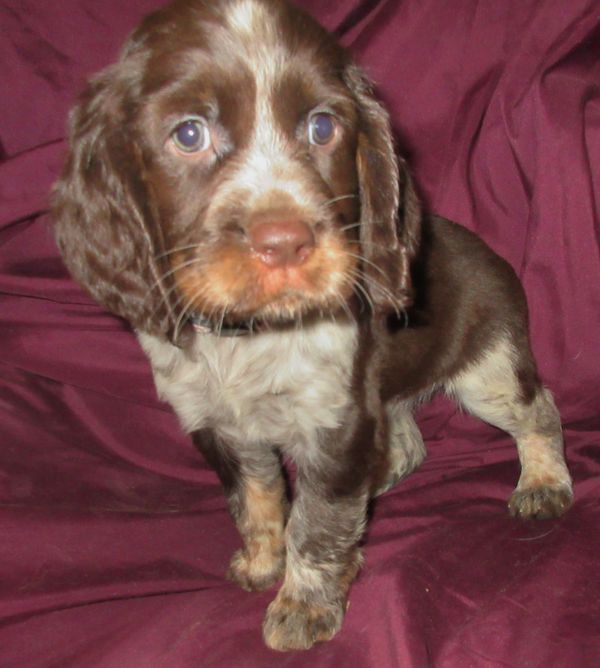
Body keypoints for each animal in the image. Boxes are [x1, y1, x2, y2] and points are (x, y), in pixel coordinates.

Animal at [52, 0, 572, 652]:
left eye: (322, 128)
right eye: (188, 134)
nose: (286, 242)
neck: (249, 336)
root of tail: (493, 254)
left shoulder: (335, 418)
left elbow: (317, 520)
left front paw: (303, 605)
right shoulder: (217, 424)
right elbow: (256, 498)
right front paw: (261, 562)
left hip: (490, 370)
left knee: (538, 410)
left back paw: (543, 484)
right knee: (407, 442)